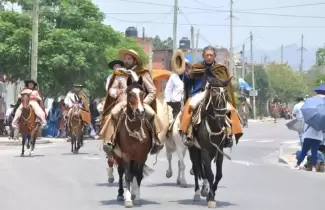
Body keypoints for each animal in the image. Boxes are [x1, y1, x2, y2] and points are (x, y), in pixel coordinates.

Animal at [110, 76, 153, 208]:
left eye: (142, 93)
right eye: (130, 94)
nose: (140, 112)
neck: (134, 130)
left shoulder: (142, 156)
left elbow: (138, 175)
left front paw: (136, 197)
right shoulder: (126, 155)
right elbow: (127, 175)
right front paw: (128, 199)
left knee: (134, 172)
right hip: (118, 155)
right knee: (121, 172)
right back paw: (120, 194)